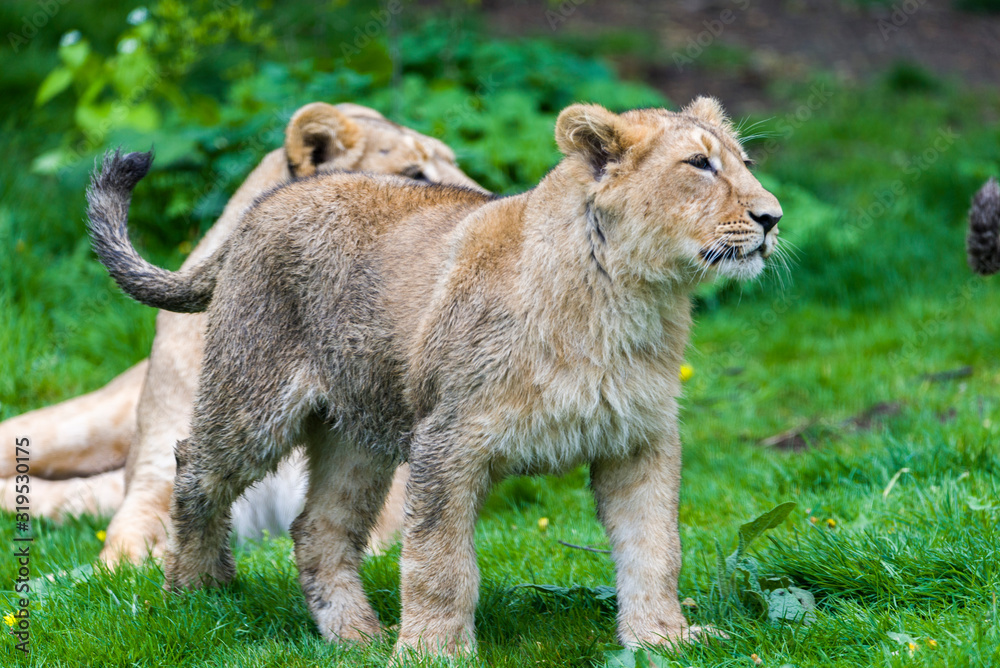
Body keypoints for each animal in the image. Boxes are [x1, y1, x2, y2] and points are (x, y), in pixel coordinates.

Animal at [0, 102, 484, 564]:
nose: (490, 203)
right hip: (86, 424)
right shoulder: (157, 481)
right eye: (415, 173)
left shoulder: (386, 507)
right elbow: (123, 549)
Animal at [86, 97, 782, 657]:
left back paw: (357, 637)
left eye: (745, 161)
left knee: (317, 530)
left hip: (358, 433)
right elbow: (438, 563)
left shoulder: (639, 442)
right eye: (699, 165)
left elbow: (654, 549)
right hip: (253, 404)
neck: (631, 295)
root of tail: (264, 205)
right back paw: (197, 592)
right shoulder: (447, 442)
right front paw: (433, 651)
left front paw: (663, 640)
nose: (772, 217)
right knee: (193, 470)